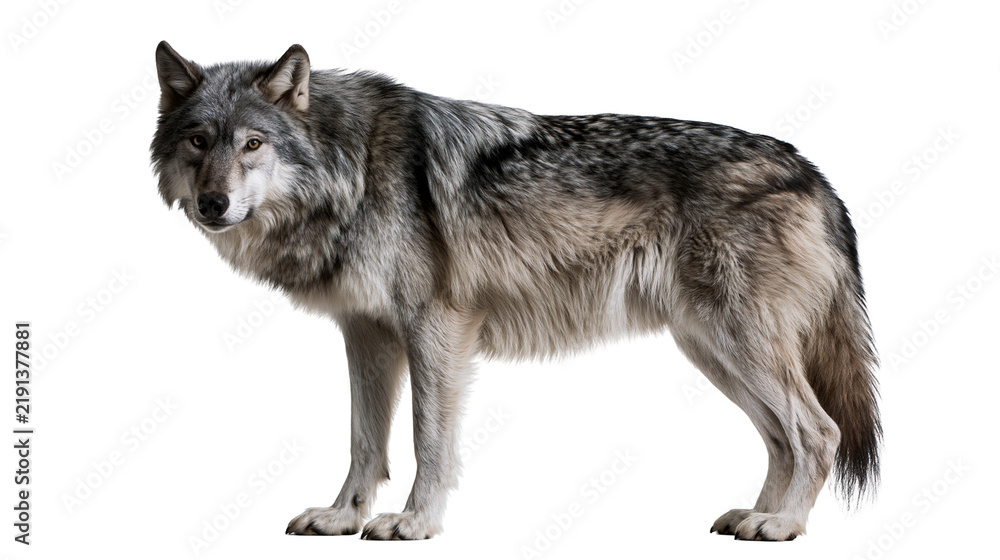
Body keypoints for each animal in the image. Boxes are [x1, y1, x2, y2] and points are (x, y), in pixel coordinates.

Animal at [150, 41, 881, 541]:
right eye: (199, 141)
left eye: (252, 143)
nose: (213, 204)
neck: (349, 169)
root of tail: (815, 172)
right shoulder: (368, 334)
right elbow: (364, 441)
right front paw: (342, 517)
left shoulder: (435, 327)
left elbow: (427, 439)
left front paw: (414, 523)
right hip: (713, 352)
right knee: (784, 439)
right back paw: (758, 514)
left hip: (738, 346)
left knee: (819, 431)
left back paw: (782, 527)